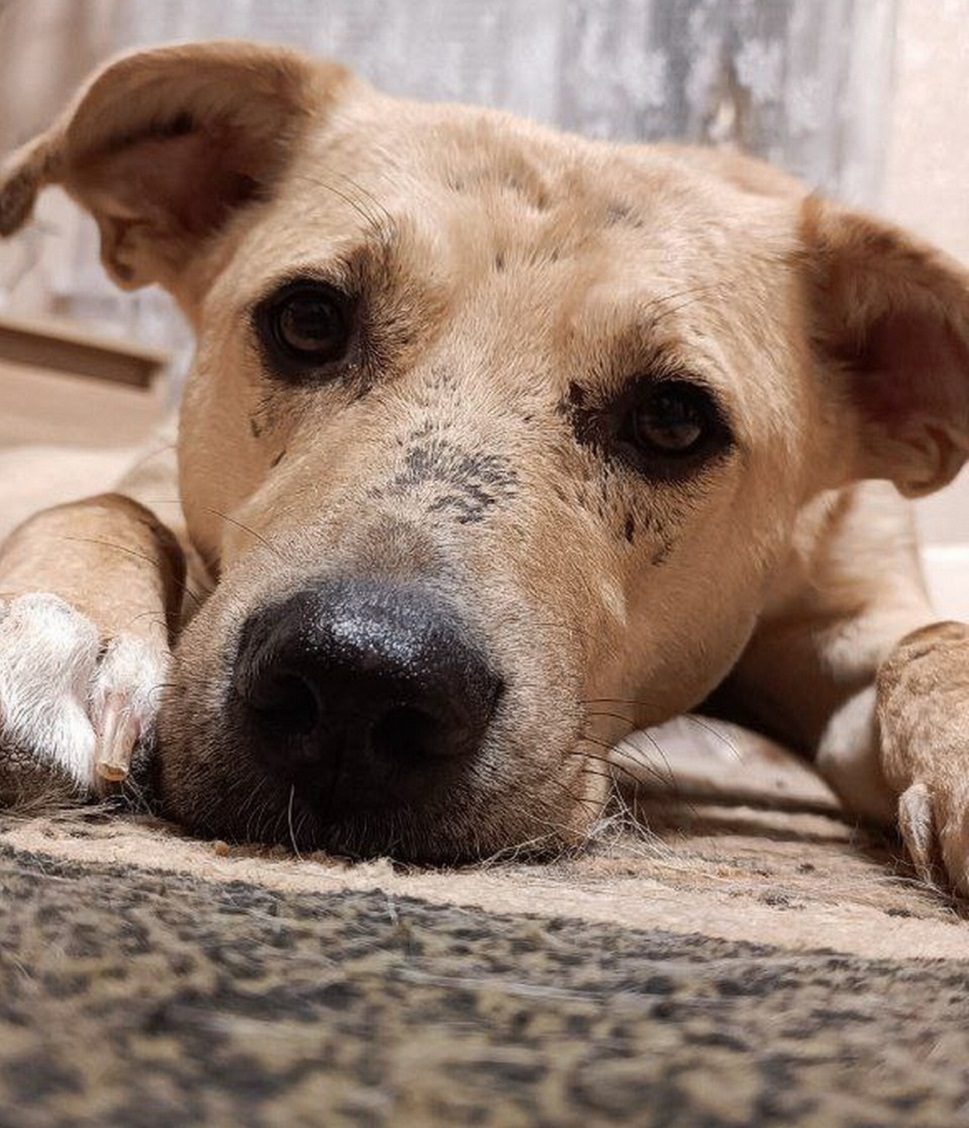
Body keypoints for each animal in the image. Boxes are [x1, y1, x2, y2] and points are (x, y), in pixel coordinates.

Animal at [1, 40, 968, 887]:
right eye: (308, 320)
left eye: (671, 419)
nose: (358, 679)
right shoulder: (157, 476)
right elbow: (110, 507)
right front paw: (53, 621)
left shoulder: (854, 611)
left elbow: (930, 641)